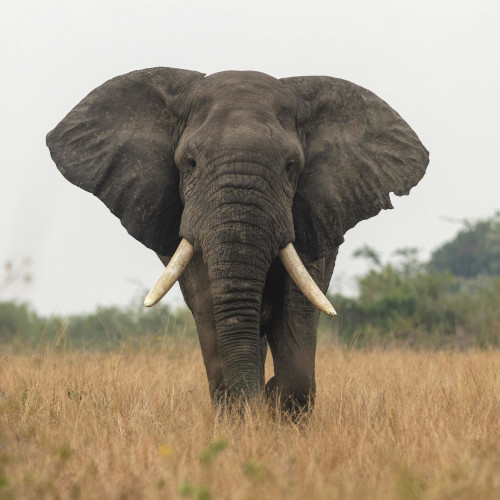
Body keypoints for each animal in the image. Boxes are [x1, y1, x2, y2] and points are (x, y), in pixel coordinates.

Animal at [47, 68, 428, 416]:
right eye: (190, 163)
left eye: (291, 166)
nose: (259, 401)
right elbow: (209, 306)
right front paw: (243, 415)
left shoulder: (311, 213)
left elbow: (297, 307)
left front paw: (275, 402)